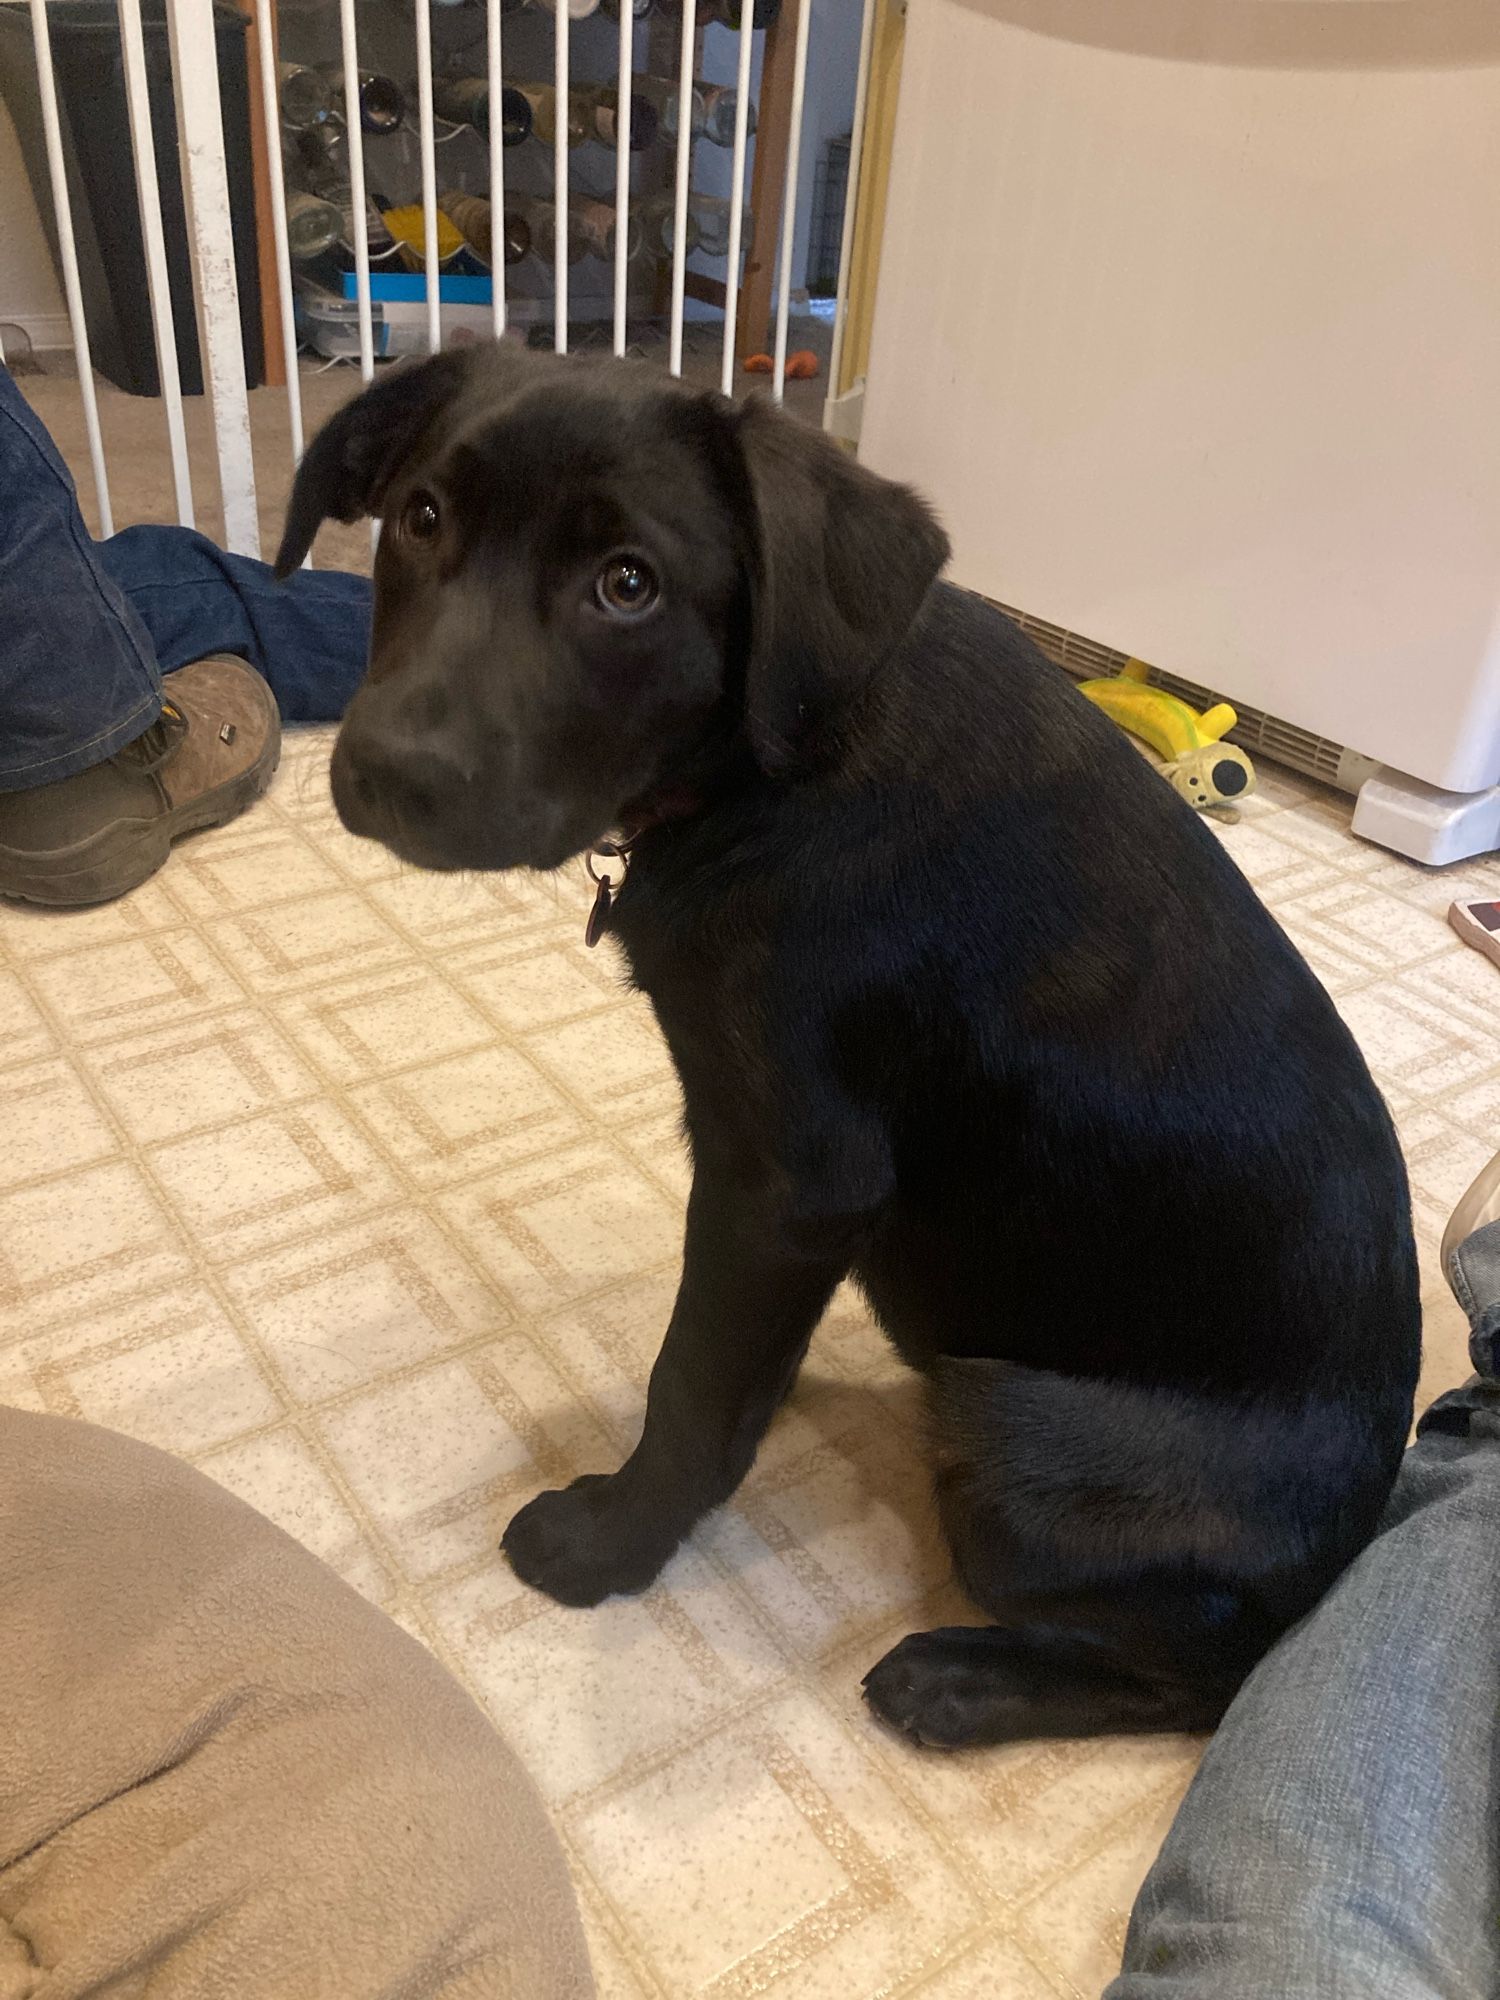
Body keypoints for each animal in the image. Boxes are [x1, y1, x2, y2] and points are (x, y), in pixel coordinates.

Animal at [280, 348, 1424, 1752]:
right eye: (421, 518)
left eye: (628, 585)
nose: (389, 771)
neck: (777, 759)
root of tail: (1349, 1551)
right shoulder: (778, 1196)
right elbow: (731, 1369)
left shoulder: (791, 1181)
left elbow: (690, 1380)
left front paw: (611, 1543)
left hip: (1012, 1430)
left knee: (1208, 1682)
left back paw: (961, 1679)